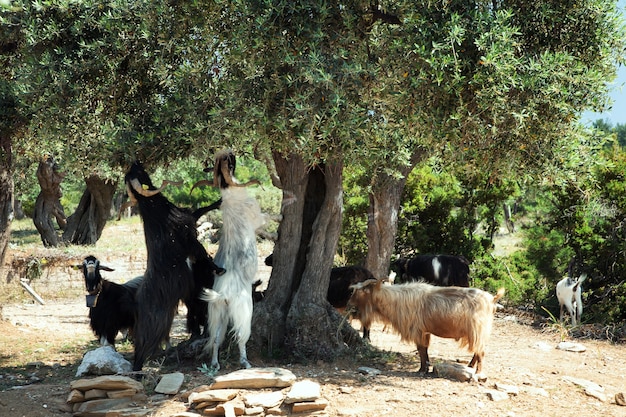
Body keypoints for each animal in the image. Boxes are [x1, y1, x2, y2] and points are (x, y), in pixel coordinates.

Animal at [124, 160, 224, 370]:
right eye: (137, 173)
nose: (136, 161)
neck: (156, 211)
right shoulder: (189, 239)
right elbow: (204, 255)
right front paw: (219, 269)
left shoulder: (190, 220)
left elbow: (201, 210)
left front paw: (219, 201)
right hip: (159, 320)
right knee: (145, 343)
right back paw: (138, 368)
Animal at [193, 150, 266, 370]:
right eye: (229, 165)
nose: (231, 153)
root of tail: (223, 294)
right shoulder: (257, 216)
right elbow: (268, 218)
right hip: (243, 310)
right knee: (241, 336)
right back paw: (245, 362)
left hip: (218, 313)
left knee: (216, 339)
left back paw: (215, 364)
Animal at [352, 278, 502, 372]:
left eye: (361, 291)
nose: (351, 306)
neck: (396, 300)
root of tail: (492, 299)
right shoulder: (425, 331)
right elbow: (424, 350)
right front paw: (425, 368)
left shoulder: (417, 330)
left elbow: (421, 350)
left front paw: (421, 370)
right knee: (478, 351)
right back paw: (470, 367)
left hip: (478, 330)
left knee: (481, 352)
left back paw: (478, 373)